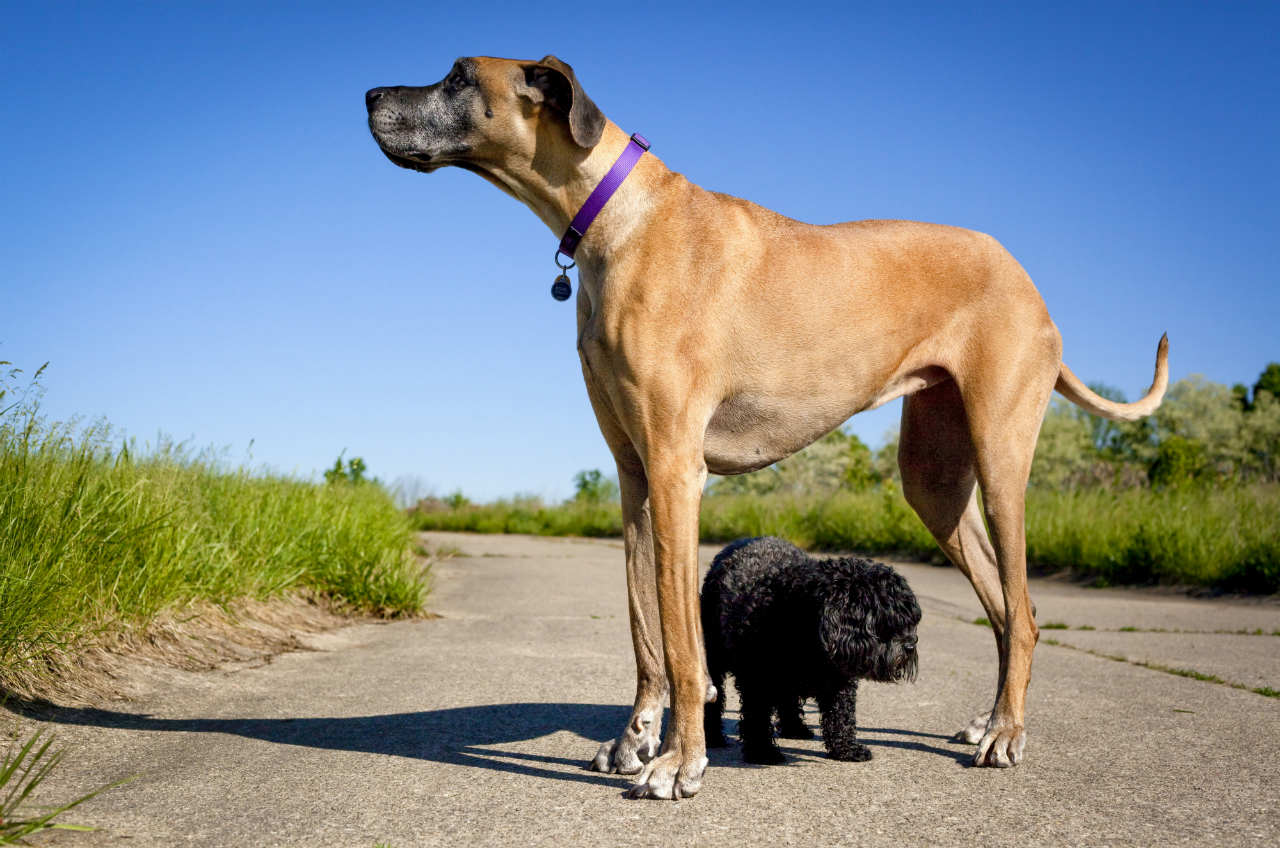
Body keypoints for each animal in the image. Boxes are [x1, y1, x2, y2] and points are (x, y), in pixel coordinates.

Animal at [701, 540, 921, 768]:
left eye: (909, 620)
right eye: (885, 622)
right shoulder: (757, 681)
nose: (910, 645)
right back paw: (713, 737)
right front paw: (763, 752)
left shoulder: (839, 681)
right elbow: (757, 717)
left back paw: (795, 729)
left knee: (787, 700)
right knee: (713, 700)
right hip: (714, 658)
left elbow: (841, 717)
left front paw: (847, 749)